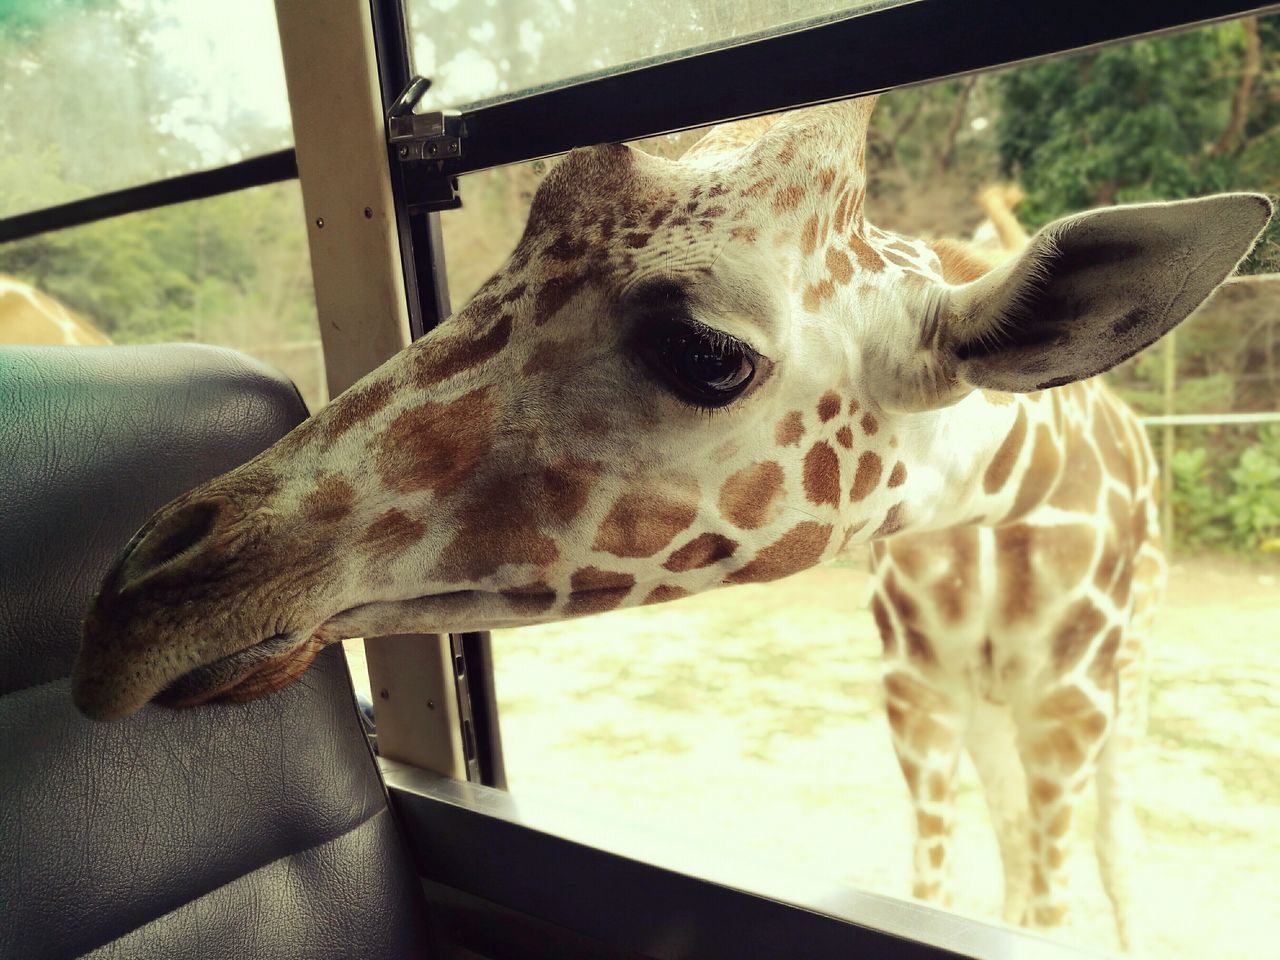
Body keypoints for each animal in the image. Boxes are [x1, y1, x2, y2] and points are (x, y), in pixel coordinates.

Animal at [74, 97, 1264, 942]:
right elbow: (945, 877)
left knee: (1102, 843)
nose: (139, 604)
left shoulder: (1067, 709)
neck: (990, 518)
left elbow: (1046, 895)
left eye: (704, 352)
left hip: (1116, 686)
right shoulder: (913, 698)